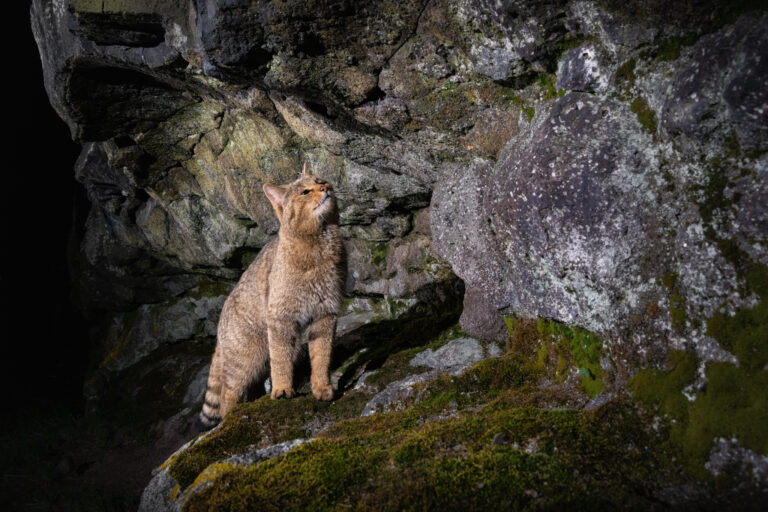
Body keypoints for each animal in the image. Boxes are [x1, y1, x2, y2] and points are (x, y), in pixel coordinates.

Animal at [200, 164, 344, 428]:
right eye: (305, 192)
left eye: (321, 180)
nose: (325, 188)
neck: (318, 241)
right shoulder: (280, 318)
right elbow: (280, 360)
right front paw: (282, 389)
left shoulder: (325, 314)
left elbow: (321, 356)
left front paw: (322, 387)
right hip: (246, 358)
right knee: (227, 393)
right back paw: (231, 417)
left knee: (252, 387)